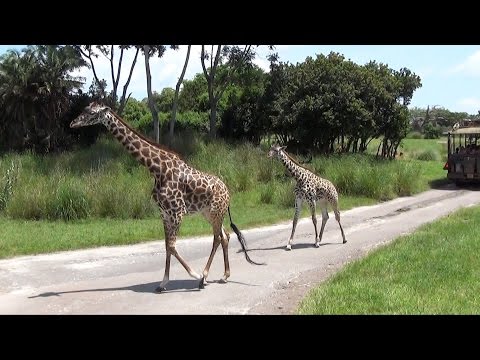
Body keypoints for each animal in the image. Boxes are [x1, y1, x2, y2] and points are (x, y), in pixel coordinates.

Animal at [70, 101, 262, 292]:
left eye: (91, 113)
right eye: (85, 109)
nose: (73, 123)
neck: (156, 169)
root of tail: (227, 190)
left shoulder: (178, 212)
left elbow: (171, 245)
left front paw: (194, 275)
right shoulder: (164, 213)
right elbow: (166, 246)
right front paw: (163, 283)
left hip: (216, 212)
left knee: (217, 238)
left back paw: (204, 277)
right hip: (209, 213)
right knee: (225, 236)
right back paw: (224, 275)